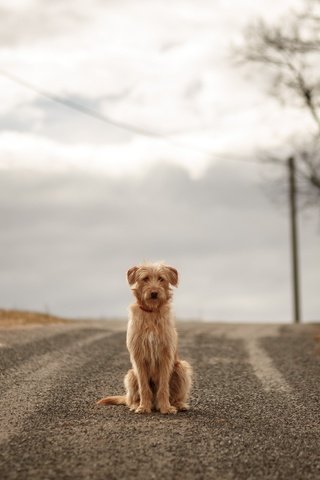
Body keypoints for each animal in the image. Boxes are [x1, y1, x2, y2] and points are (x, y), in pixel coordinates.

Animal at [97, 260, 191, 414]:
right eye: (145, 278)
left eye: (161, 278)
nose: (154, 293)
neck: (151, 312)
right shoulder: (138, 356)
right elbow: (144, 386)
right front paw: (143, 407)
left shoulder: (166, 356)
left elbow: (163, 386)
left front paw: (166, 408)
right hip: (131, 375)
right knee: (131, 399)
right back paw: (137, 404)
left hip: (181, 367)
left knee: (176, 396)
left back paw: (178, 404)